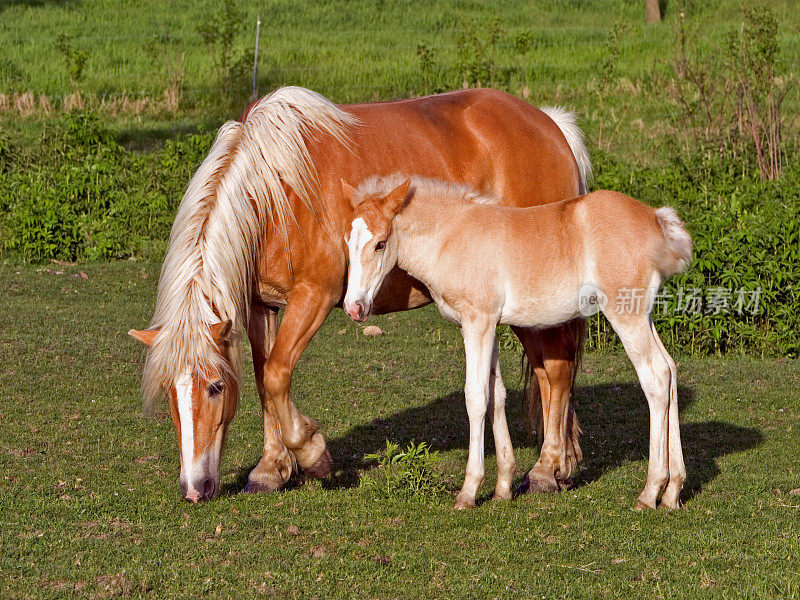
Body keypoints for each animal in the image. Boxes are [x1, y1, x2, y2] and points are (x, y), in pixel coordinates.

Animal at [340, 176, 692, 508]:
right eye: (348, 241)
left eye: (380, 244)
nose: (354, 308)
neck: (452, 235)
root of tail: (657, 218)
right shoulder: (490, 327)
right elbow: (496, 395)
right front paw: (502, 488)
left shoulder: (477, 324)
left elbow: (476, 397)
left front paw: (469, 491)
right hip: (644, 315)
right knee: (670, 370)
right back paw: (672, 491)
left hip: (626, 314)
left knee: (656, 377)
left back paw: (650, 492)